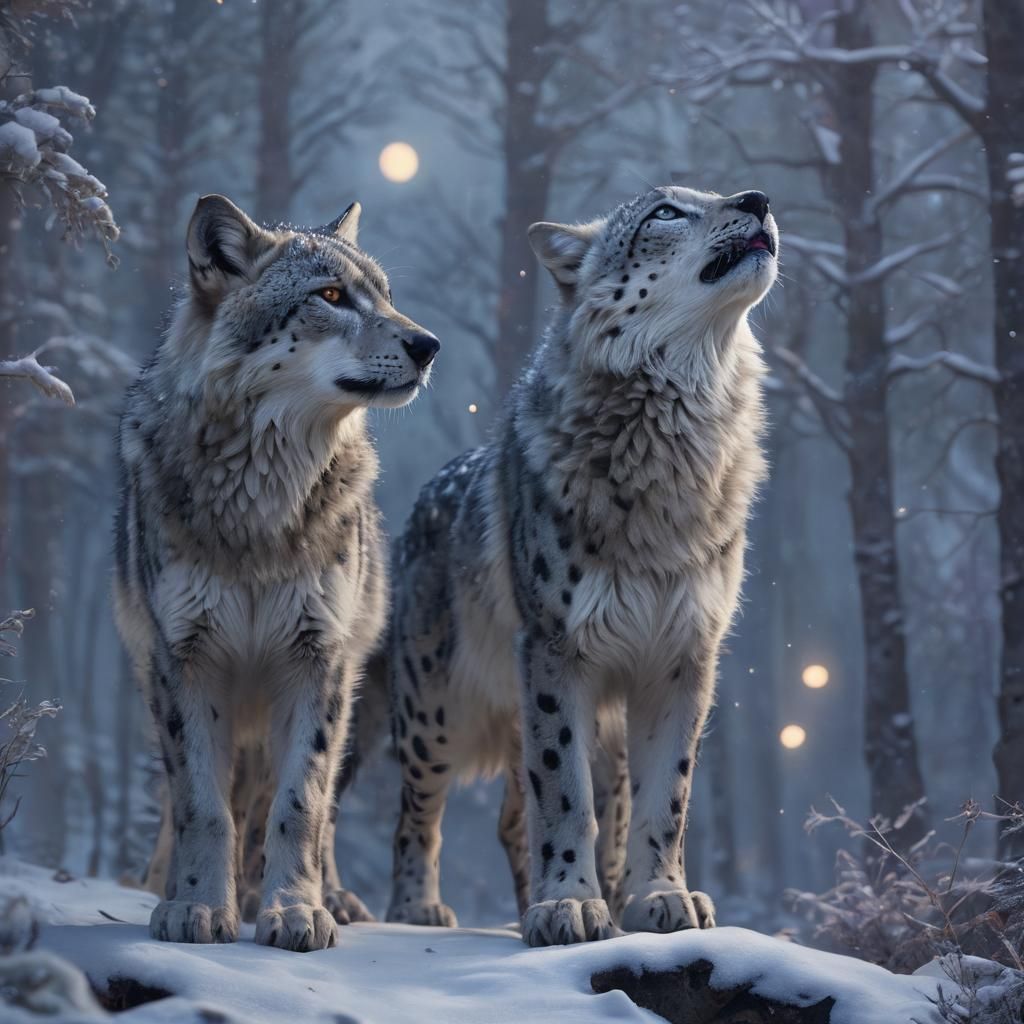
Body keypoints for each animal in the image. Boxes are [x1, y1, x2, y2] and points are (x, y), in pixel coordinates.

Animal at [114, 194, 438, 951]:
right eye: (331, 297)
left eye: (386, 295)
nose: (428, 344)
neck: (260, 510)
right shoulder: (188, 661)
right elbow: (202, 805)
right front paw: (198, 906)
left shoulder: (316, 662)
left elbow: (301, 804)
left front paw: (294, 911)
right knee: (186, 799)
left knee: (307, 810)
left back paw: (329, 898)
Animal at [384, 185, 776, 945]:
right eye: (665, 211)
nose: (758, 198)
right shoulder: (557, 649)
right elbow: (564, 791)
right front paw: (568, 903)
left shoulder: (682, 654)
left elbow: (668, 797)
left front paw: (661, 899)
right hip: (435, 709)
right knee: (415, 808)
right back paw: (415, 909)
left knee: (522, 816)